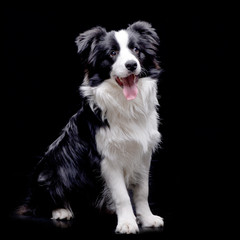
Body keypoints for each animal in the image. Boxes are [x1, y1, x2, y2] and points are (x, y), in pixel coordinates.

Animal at [16, 21, 164, 234]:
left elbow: (143, 191)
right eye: (112, 53)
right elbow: (122, 195)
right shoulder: (107, 158)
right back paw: (61, 211)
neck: (126, 105)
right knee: (41, 203)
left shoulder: (143, 154)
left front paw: (147, 218)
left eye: (136, 50)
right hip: (54, 171)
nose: (131, 65)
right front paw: (127, 223)